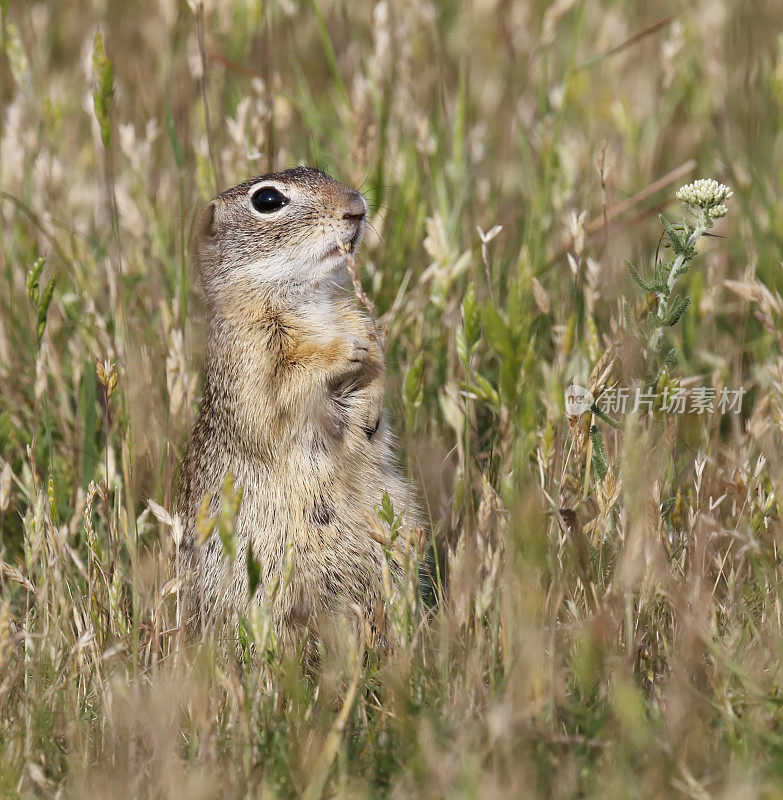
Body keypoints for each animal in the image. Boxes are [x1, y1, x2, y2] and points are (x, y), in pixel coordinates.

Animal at [175, 166, 420, 652]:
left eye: (321, 171)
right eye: (267, 200)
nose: (357, 205)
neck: (309, 299)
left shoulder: (356, 315)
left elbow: (376, 358)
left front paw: (369, 411)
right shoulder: (251, 353)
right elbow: (285, 384)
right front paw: (346, 352)